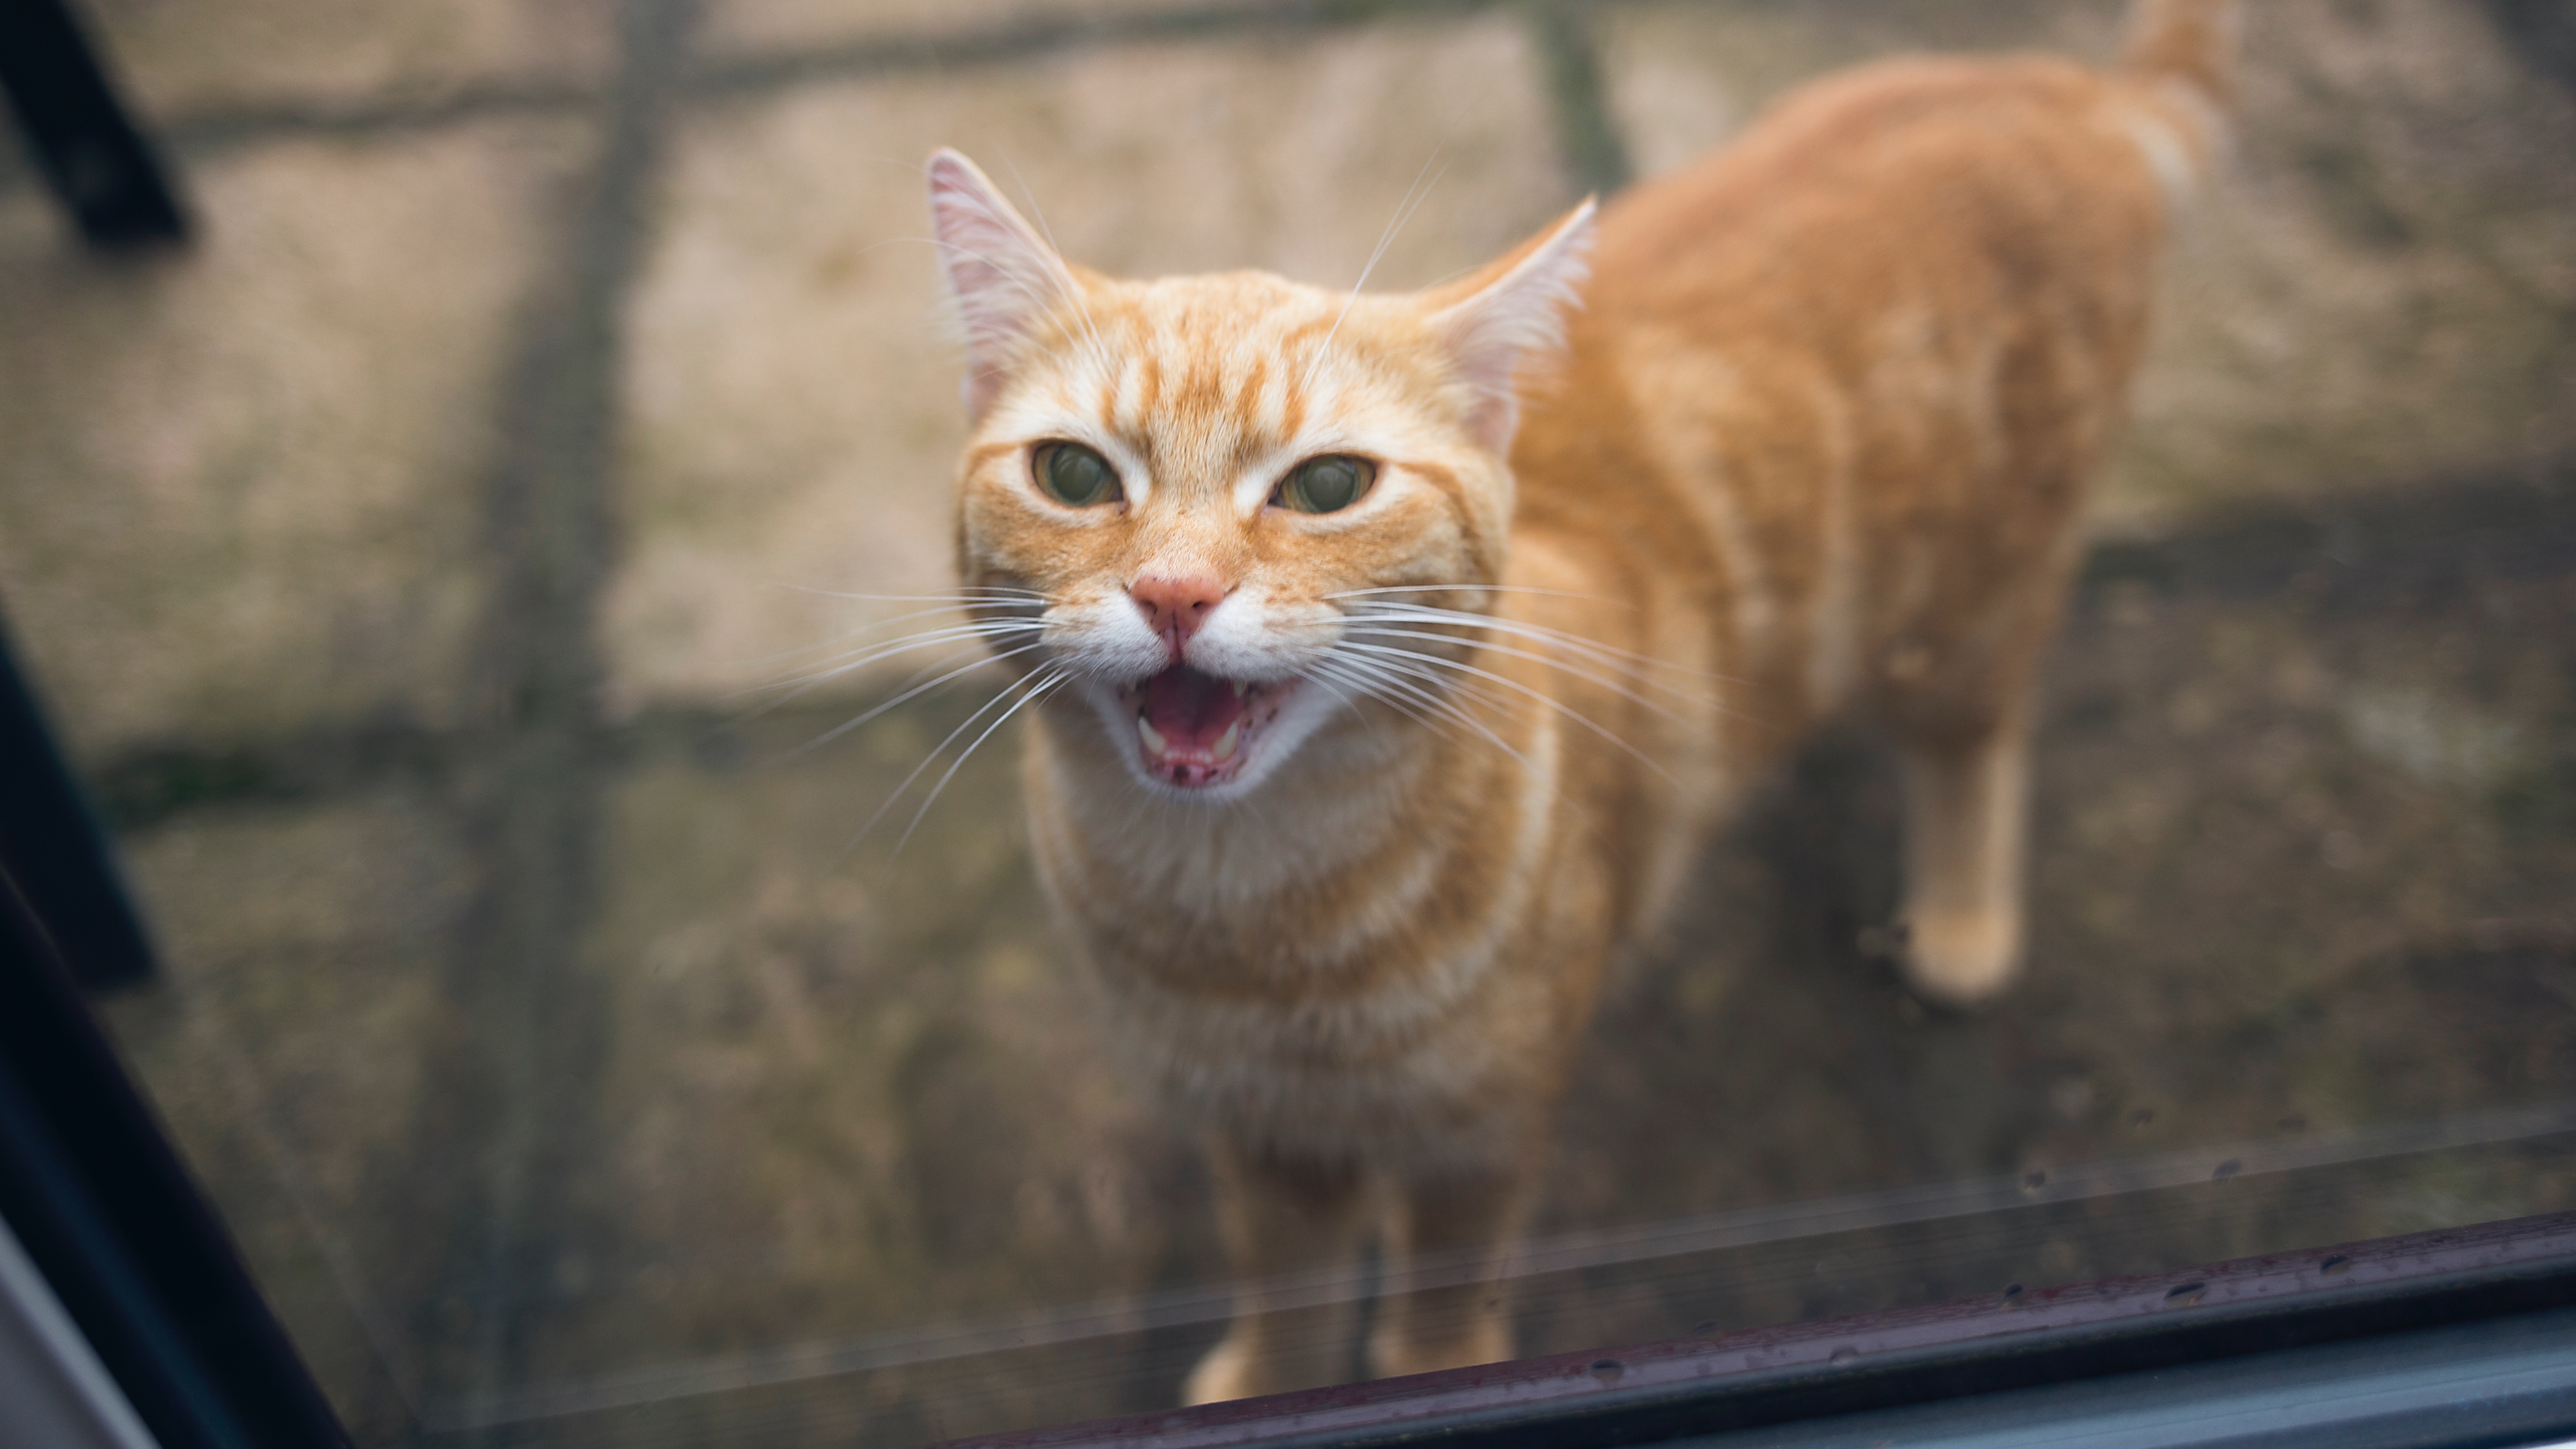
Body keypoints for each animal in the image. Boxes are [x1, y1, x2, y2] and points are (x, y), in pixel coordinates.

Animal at [922, 0, 2236, 1402]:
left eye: (1327, 486)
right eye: (1074, 474)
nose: (1174, 591)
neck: (1250, 922)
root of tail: (2062, 92)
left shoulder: (1485, 1125)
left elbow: (1442, 1301)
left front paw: (1434, 1371)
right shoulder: (1264, 1134)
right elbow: (1286, 1287)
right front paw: (1272, 1380)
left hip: (1968, 610)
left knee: (1976, 743)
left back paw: (1961, 918)